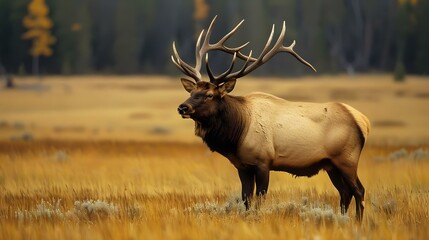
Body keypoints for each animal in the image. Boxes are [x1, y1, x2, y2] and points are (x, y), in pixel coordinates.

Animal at [171, 15, 368, 221]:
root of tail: (363, 121)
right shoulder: (243, 165)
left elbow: (259, 198)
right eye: (192, 92)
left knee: (359, 190)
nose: (182, 107)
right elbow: (246, 198)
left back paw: (357, 222)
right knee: (345, 193)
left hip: (347, 159)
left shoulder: (263, 161)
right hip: (331, 165)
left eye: (209, 95)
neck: (237, 134)